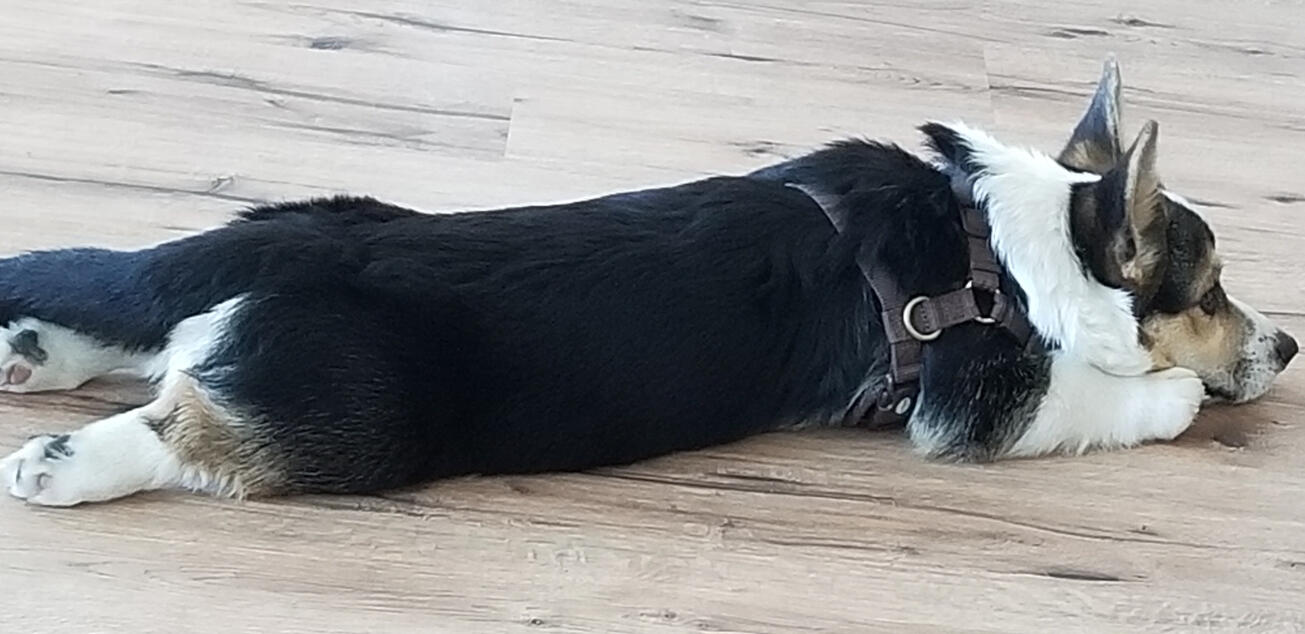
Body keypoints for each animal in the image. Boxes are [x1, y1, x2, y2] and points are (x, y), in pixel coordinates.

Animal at [0, 59, 1295, 506]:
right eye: (1210, 294)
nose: (1287, 348)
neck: (1016, 239)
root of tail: (290, 251)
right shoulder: (981, 401)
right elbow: (1119, 396)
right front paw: (1175, 393)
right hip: (355, 414)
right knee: (184, 423)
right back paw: (64, 463)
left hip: (247, 271)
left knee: (137, 330)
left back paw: (34, 353)